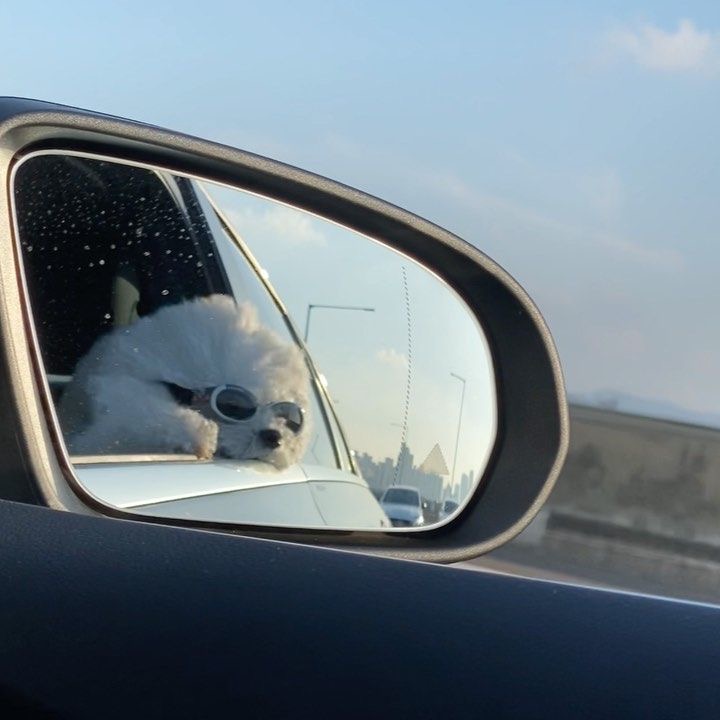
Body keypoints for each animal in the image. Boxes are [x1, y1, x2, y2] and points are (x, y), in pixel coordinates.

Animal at [59, 294, 312, 469]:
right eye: (233, 406)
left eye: (288, 417)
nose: (274, 436)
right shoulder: (121, 401)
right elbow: (149, 414)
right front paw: (201, 433)